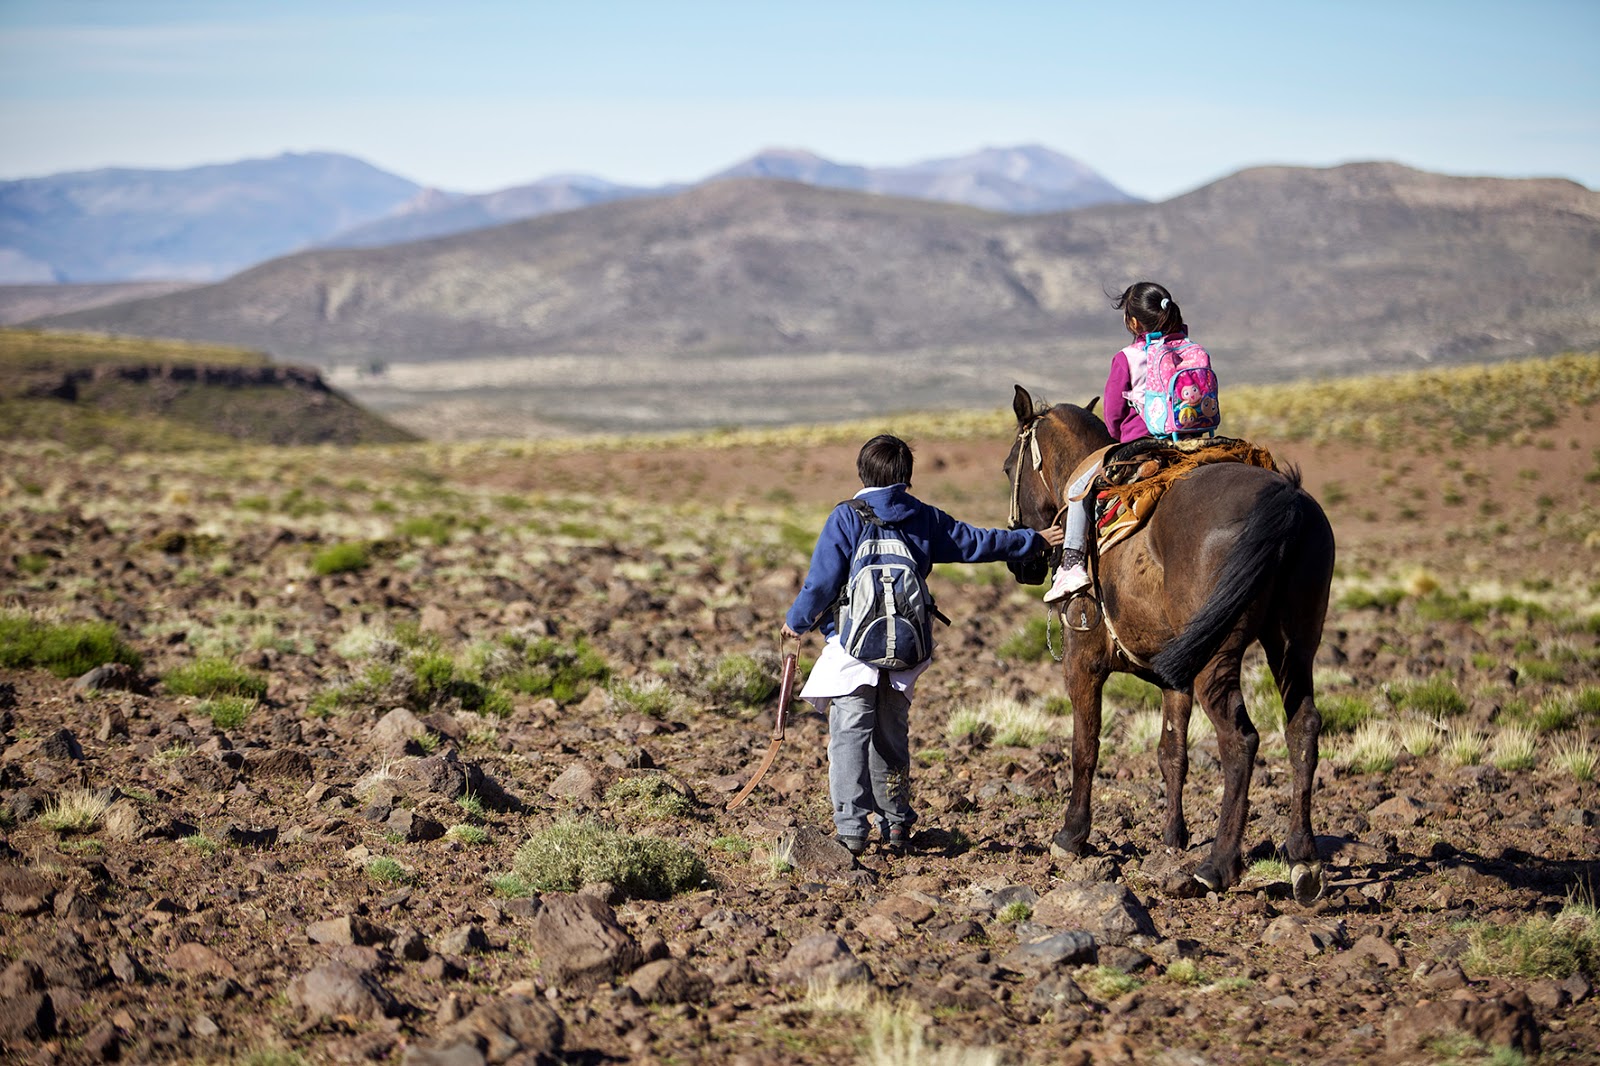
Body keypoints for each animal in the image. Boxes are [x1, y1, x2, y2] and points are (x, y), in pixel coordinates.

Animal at [1011, 382, 1337, 896]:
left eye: (1009, 467)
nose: (1021, 562)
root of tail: (1285, 500)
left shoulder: (1082, 661)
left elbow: (1085, 746)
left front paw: (1071, 835)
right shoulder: (1172, 679)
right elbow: (1172, 754)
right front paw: (1173, 838)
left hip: (1218, 659)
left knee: (1240, 740)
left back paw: (1218, 865)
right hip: (1294, 644)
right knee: (1302, 728)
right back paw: (1303, 860)